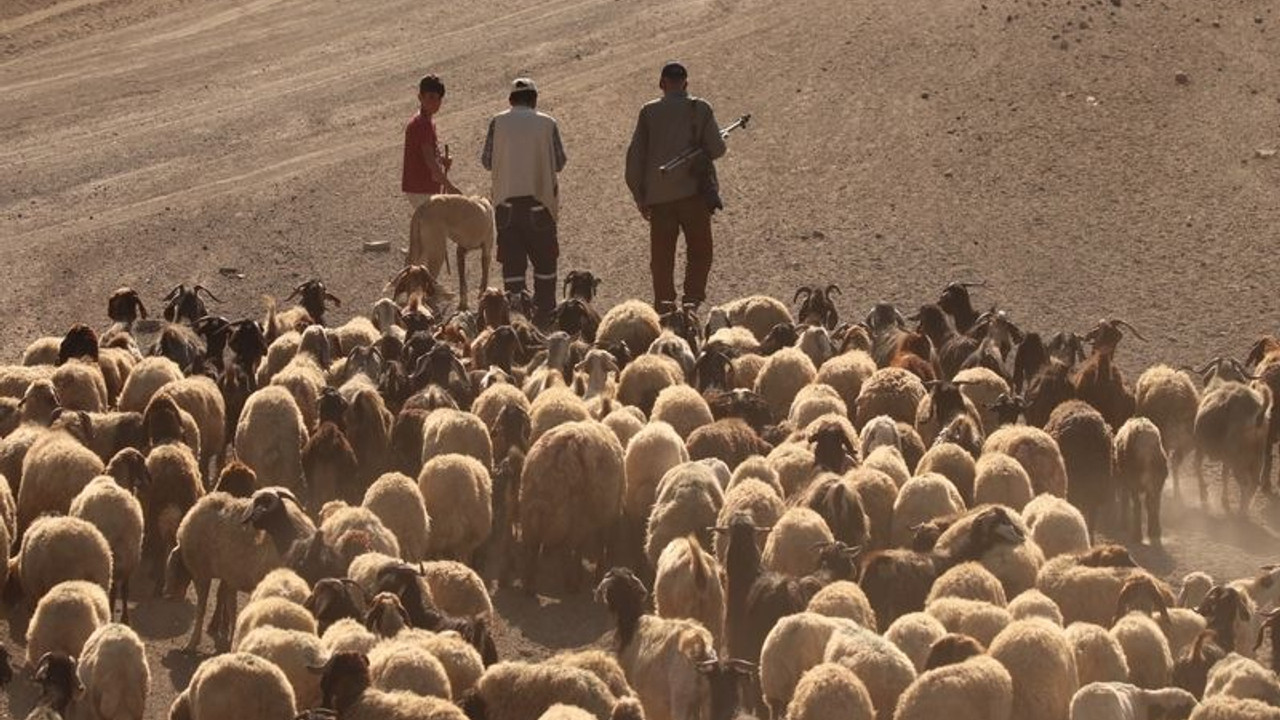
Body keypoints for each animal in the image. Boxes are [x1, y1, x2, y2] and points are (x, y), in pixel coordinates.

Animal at [517, 417, 622, 591]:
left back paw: (529, 586)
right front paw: (594, 575)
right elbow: (596, 547)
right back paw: (571, 584)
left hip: (529, 512)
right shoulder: (605, 517)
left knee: (533, 548)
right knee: (567, 550)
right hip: (576, 515)